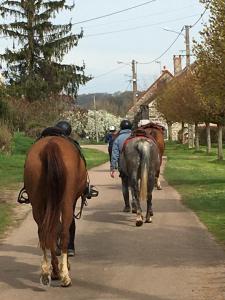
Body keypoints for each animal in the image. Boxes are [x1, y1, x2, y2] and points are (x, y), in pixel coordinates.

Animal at [24, 135, 87, 286]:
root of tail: (51, 144)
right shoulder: (71, 202)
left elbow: (53, 231)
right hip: (66, 202)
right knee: (63, 233)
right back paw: (64, 275)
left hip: (37, 204)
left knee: (44, 233)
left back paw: (48, 271)